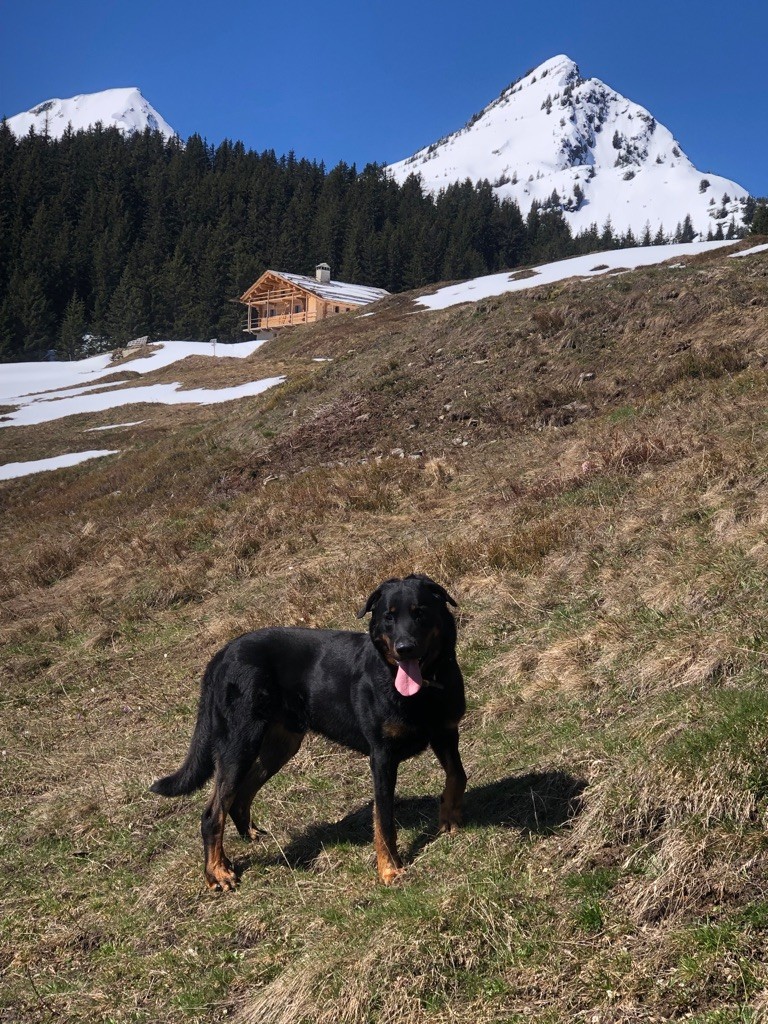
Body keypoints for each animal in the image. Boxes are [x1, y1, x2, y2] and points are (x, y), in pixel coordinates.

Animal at [148, 577, 466, 888]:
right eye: (388, 617)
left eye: (420, 612)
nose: (404, 648)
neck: (423, 690)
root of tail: (220, 656)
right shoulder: (382, 756)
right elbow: (384, 819)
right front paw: (389, 870)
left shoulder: (446, 732)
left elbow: (458, 775)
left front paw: (449, 817)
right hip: (239, 743)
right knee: (212, 813)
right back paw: (217, 872)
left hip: (280, 745)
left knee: (240, 795)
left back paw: (248, 836)